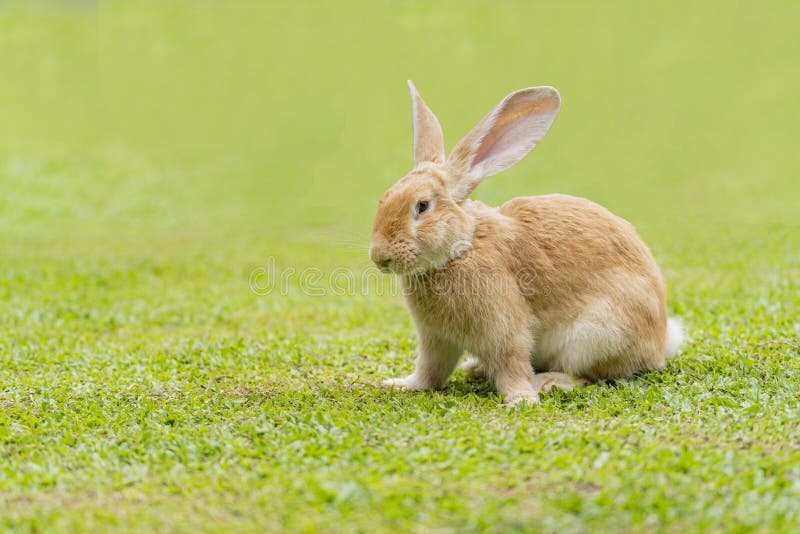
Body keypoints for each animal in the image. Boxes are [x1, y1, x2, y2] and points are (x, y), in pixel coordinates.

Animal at [370, 81, 683, 406]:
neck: (462, 248)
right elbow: (430, 371)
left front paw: (520, 400)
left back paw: (547, 383)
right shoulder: (436, 339)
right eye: (384, 198)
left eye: (422, 206)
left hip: (594, 337)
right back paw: (476, 368)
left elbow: (511, 365)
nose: (379, 257)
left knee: (588, 375)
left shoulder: (504, 330)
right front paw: (401, 385)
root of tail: (660, 343)